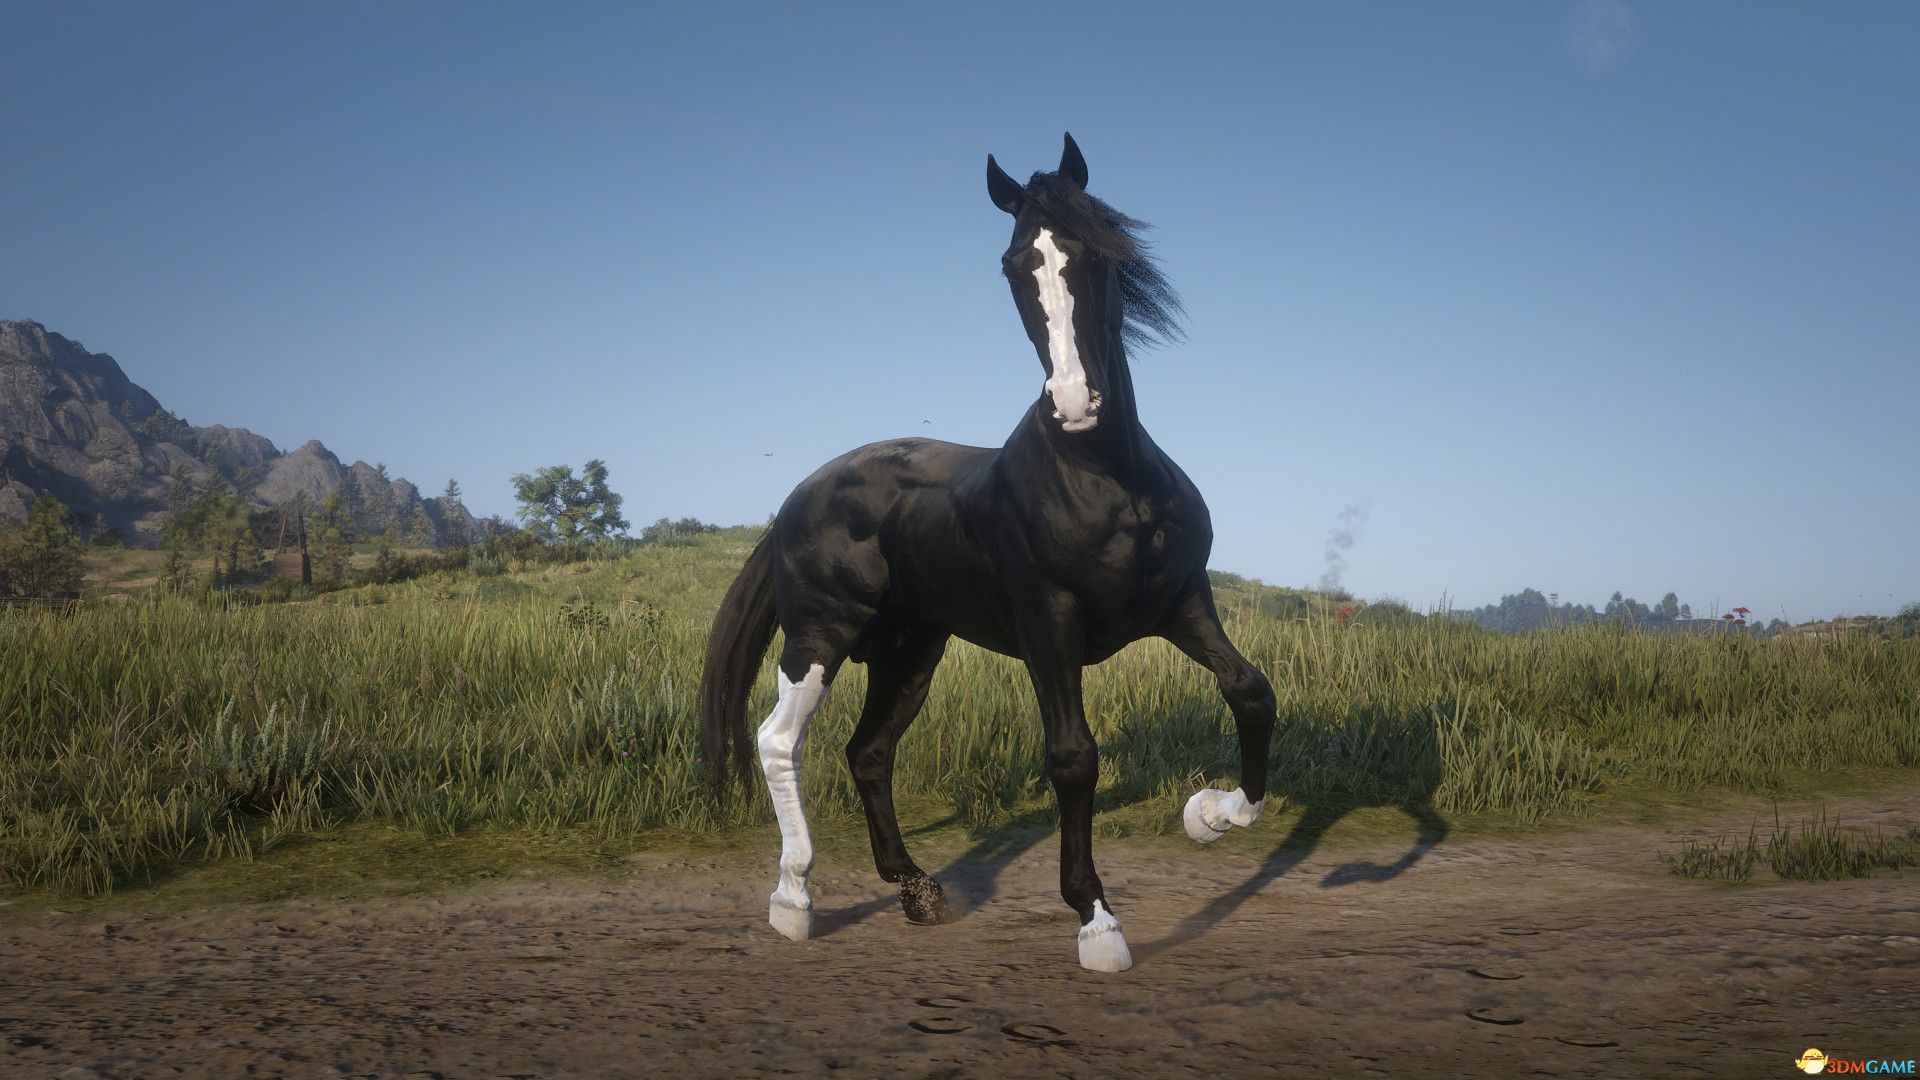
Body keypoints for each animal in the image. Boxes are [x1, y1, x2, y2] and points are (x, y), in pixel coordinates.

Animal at [697, 133, 1277, 972]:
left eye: (1096, 252)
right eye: (1012, 264)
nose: (1074, 404)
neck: (1109, 479)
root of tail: (799, 497)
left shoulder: (1182, 604)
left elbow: (1251, 693)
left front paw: (1209, 814)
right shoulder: (1048, 624)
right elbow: (1072, 756)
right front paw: (1097, 923)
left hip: (909, 653)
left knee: (869, 754)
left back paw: (918, 892)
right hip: (819, 637)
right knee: (780, 741)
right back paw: (794, 900)